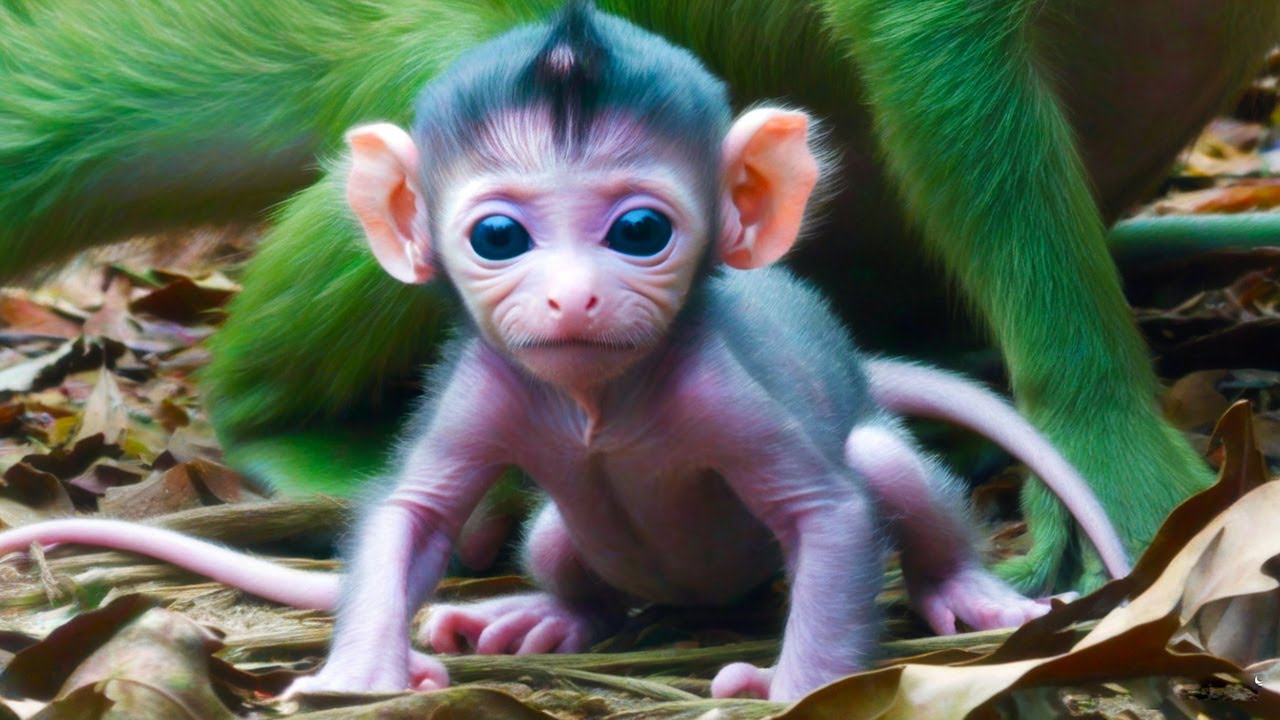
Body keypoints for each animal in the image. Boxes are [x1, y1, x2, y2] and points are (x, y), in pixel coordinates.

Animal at [0, 4, 1130, 702]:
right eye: (499, 236)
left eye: (639, 230)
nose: (572, 294)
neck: (597, 404)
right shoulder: (485, 385)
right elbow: (414, 515)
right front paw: (361, 670)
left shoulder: (719, 387)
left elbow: (831, 513)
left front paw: (799, 686)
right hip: (567, 536)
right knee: (550, 536)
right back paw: (549, 618)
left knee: (882, 465)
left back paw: (962, 589)